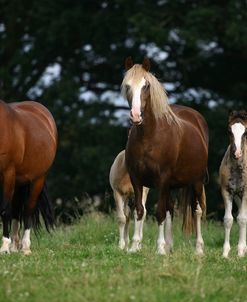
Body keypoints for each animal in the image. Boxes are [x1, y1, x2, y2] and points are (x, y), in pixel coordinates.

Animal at [0, 100, 57, 254]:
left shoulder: (7, 174)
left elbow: (5, 210)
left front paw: (4, 247)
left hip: (37, 179)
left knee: (27, 210)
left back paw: (25, 247)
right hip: (18, 182)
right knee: (16, 209)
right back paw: (15, 246)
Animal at [121, 57, 208, 255]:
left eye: (146, 85)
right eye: (127, 85)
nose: (136, 116)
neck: (149, 137)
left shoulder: (163, 179)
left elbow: (159, 212)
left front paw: (159, 249)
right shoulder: (136, 179)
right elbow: (140, 210)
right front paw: (134, 246)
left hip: (196, 181)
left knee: (197, 210)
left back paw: (198, 249)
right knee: (170, 210)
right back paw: (169, 246)